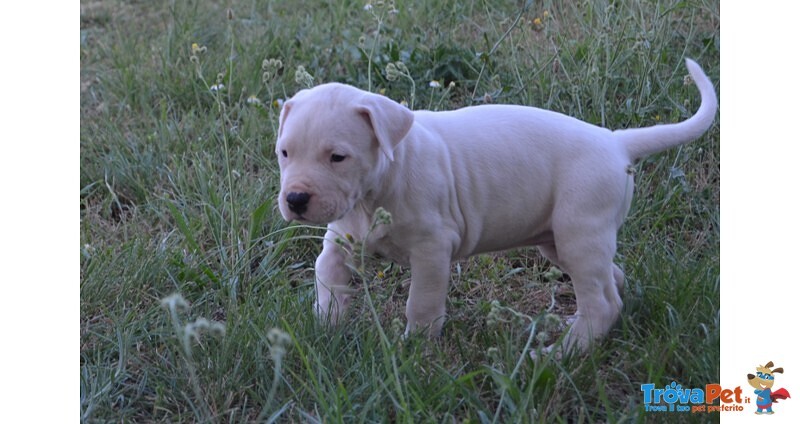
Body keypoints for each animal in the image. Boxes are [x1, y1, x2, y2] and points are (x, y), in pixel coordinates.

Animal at [276, 58, 720, 354]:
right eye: (284, 153)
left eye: (338, 157)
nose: (295, 199)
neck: (383, 179)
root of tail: (615, 141)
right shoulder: (341, 240)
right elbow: (327, 277)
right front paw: (326, 328)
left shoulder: (432, 249)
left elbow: (422, 301)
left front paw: (415, 347)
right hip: (561, 242)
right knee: (612, 278)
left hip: (580, 231)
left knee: (603, 302)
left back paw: (563, 353)